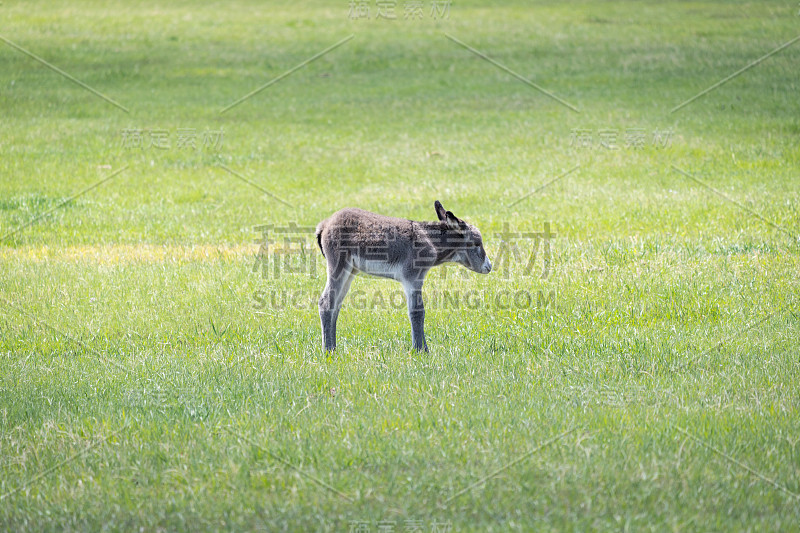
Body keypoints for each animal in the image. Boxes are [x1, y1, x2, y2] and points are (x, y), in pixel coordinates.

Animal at [316, 202, 490, 352]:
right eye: (476, 244)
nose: (489, 267)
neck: (429, 240)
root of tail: (325, 223)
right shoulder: (412, 279)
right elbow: (417, 312)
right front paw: (421, 350)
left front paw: (422, 348)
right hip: (338, 267)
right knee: (326, 302)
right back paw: (328, 350)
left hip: (350, 272)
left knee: (336, 305)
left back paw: (333, 347)